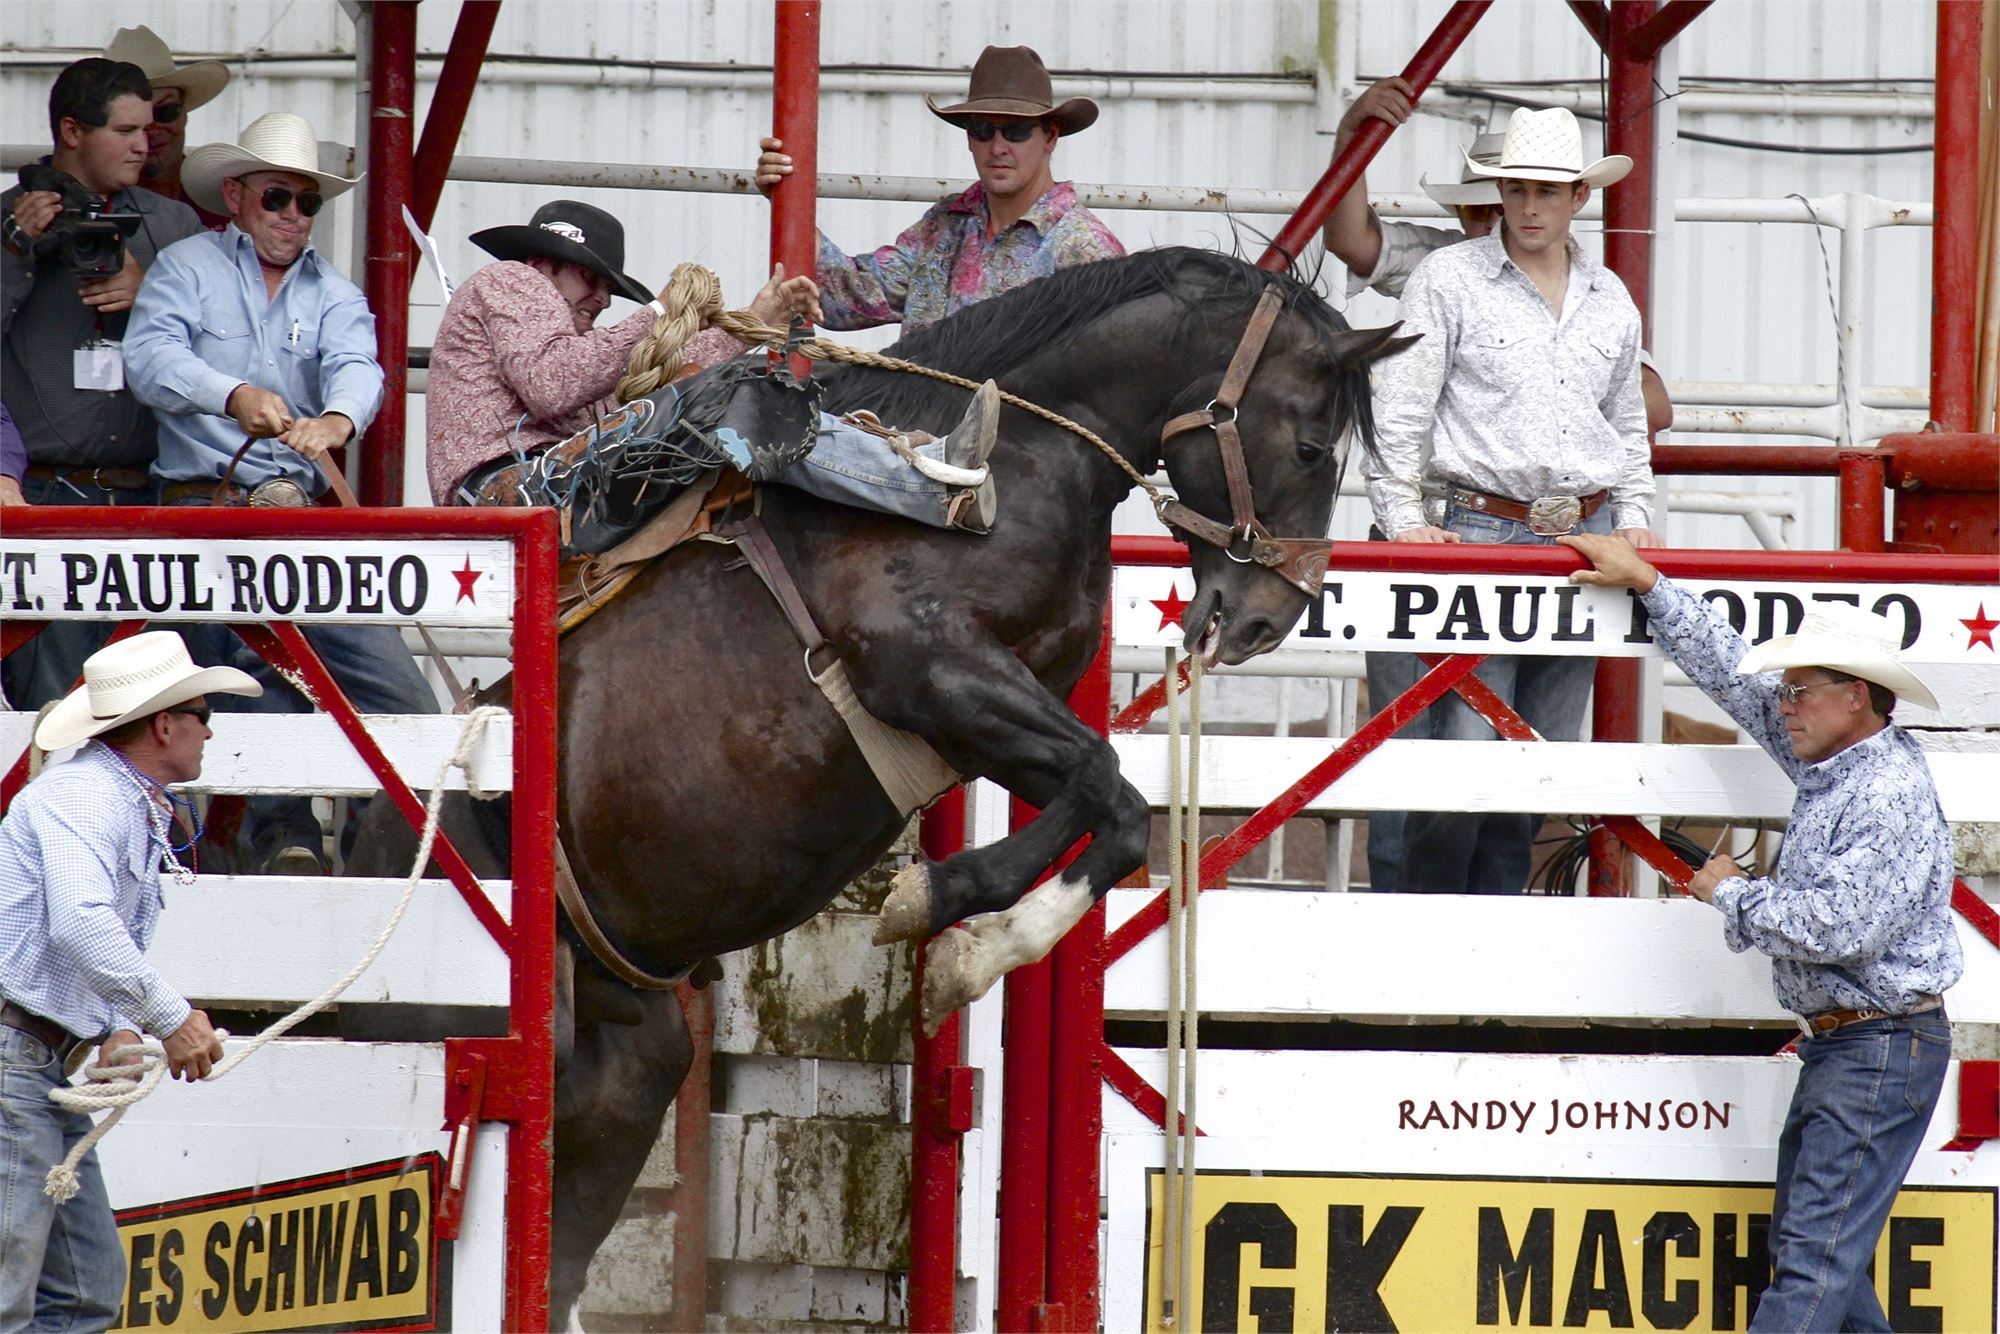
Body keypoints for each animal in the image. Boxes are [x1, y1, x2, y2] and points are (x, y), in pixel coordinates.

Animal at [348, 245, 1408, 1320]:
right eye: (1311, 447)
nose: (1271, 616)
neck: (1008, 470)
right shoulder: (927, 669)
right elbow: (1109, 793)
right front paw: (949, 931)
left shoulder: (988, 718)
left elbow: (1100, 805)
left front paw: (950, 923)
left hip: (625, 1074)